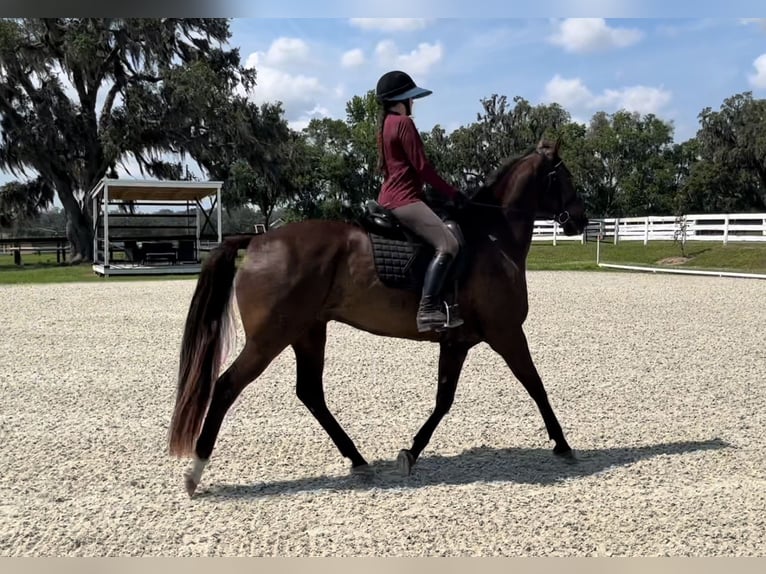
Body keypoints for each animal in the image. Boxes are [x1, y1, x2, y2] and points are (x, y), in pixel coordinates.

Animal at [168, 137, 588, 498]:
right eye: (565, 176)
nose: (580, 220)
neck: (492, 237)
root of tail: (257, 240)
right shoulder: (507, 332)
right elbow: (535, 385)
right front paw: (563, 444)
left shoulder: (457, 341)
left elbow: (444, 399)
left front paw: (411, 453)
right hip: (269, 338)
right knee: (226, 387)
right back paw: (195, 472)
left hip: (307, 332)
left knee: (310, 393)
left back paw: (358, 460)